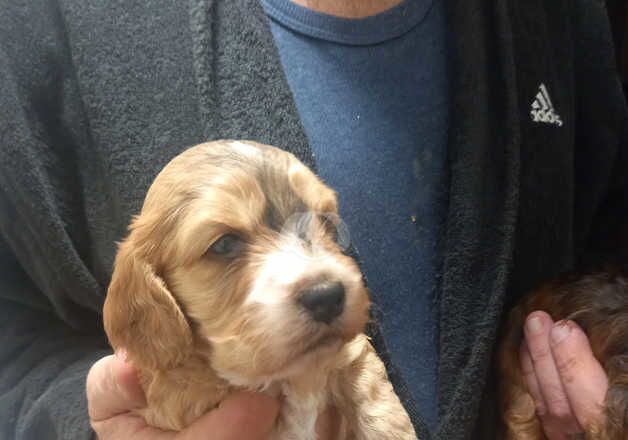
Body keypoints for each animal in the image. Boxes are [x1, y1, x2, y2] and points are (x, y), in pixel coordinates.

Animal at [102, 141, 418, 440]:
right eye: (224, 244)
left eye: (327, 222)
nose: (327, 296)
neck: (288, 377)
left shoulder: (354, 354)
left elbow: (381, 411)